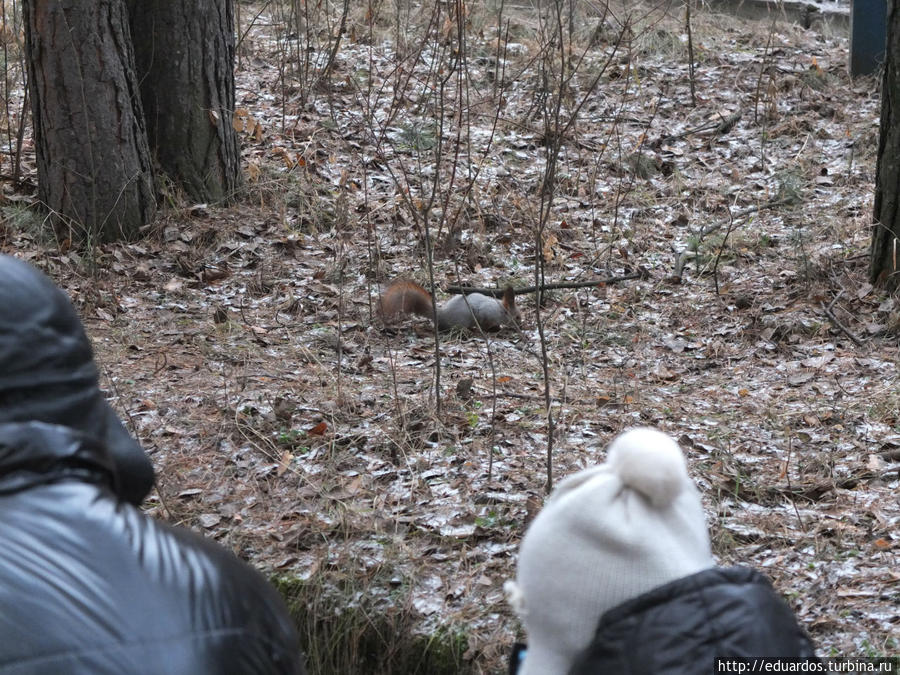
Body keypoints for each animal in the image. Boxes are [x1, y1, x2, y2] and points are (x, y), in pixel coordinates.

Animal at [380, 280, 520, 332]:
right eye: (517, 317)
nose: (521, 325)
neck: (500, 311)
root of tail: (442, 315)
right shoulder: (486, 314)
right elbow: (484, 323)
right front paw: (495, 328)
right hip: (462, 320)